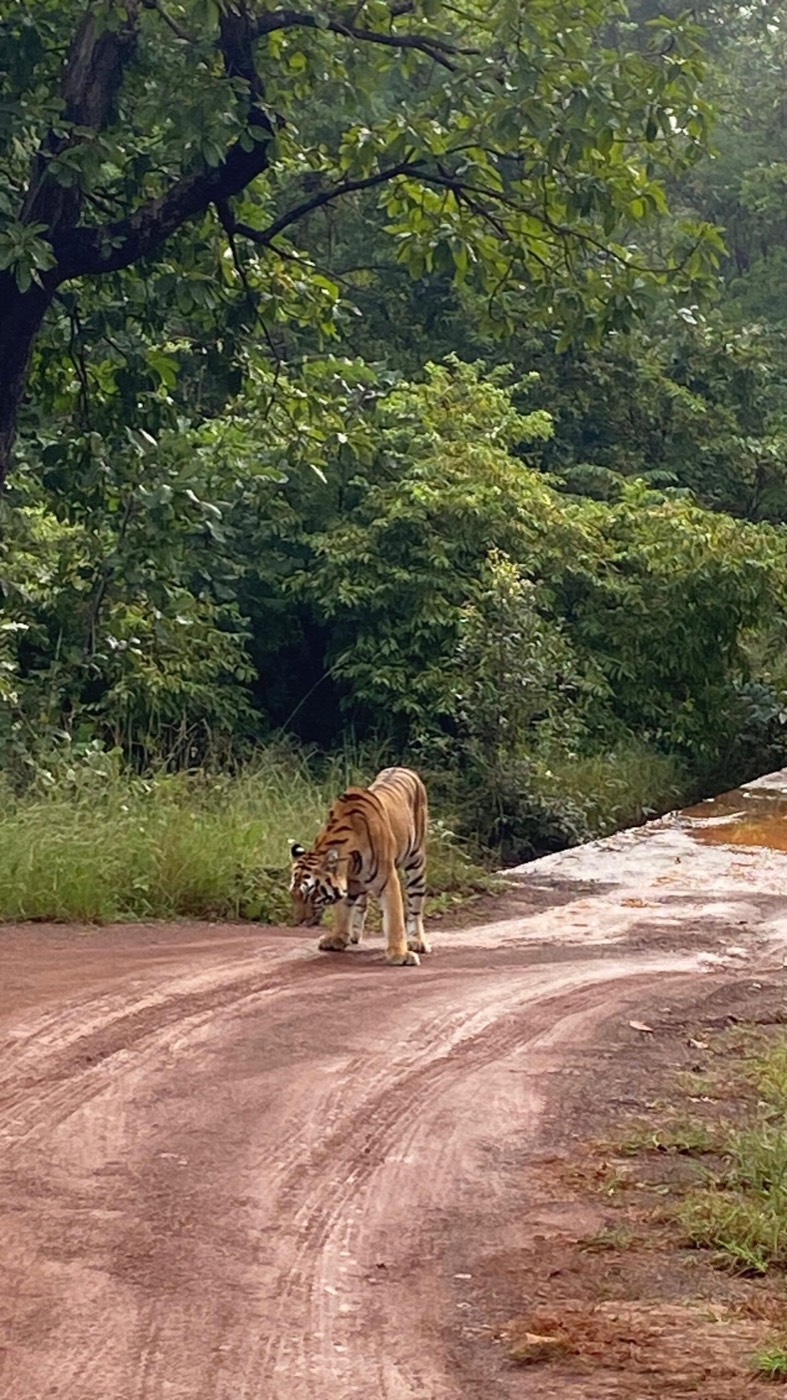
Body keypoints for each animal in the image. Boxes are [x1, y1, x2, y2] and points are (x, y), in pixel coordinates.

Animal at [289, 766, 430, 966]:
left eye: (311, 894)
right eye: (293, 895)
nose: (299, 922)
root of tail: (402, 768)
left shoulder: (387, 880)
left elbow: (394, 919)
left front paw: (399, 954)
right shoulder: (347, 882)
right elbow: (343, 910)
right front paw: (337, 938)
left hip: (416, 861)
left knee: (415, 905)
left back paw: (417, 941)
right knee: (361, 902)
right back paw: (353, 934)